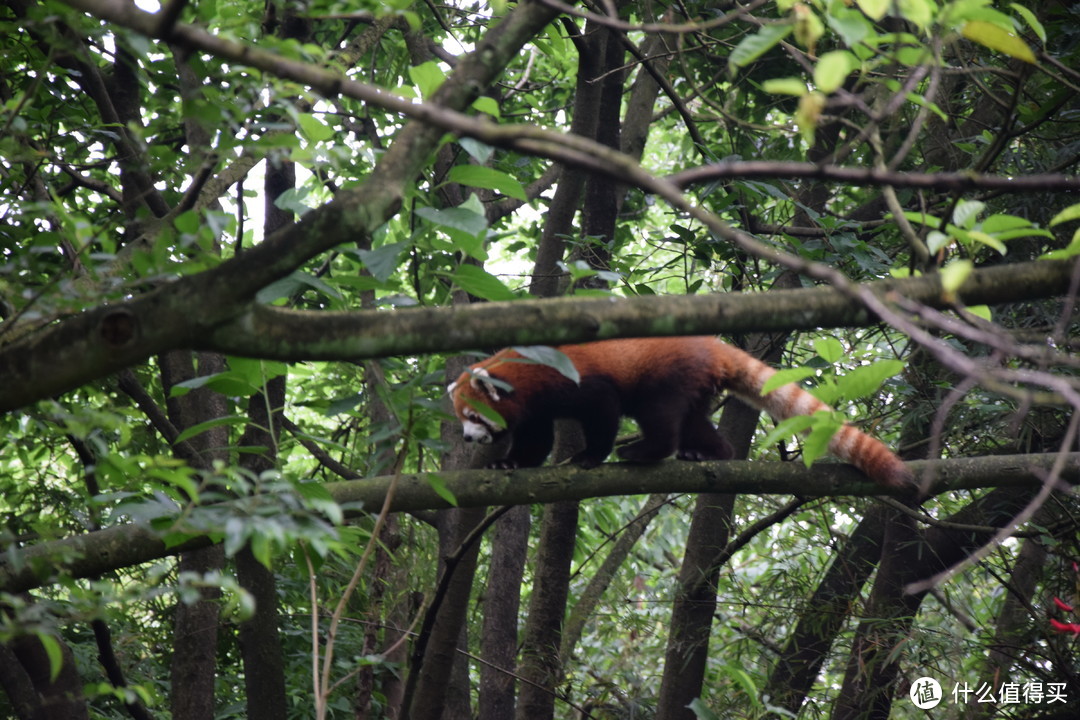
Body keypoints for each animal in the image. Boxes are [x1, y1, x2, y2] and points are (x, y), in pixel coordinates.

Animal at [444, 336, 911, 490]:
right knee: (695, 422)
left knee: (662, 418)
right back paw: (709, 453)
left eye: (473, 416)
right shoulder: (536, 405)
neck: (525, 374)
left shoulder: (577, 381)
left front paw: (590, 456)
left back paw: (645, 452)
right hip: (697, 386)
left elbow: (602, 412)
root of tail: (711, 342)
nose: (466, 440)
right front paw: (509, 462)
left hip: (667, 376)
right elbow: (535, 438)